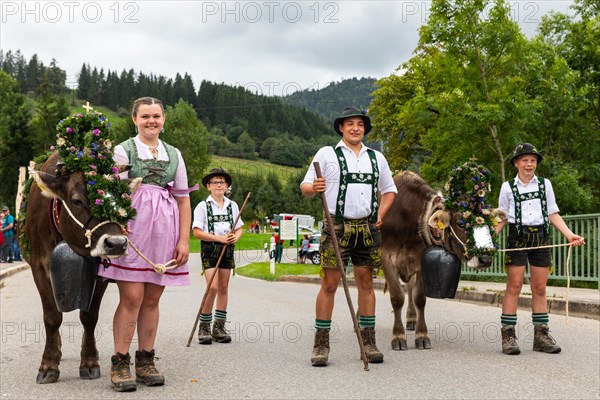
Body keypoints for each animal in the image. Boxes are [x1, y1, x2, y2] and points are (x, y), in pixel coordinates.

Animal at [23, 153, 141, 384]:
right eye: (77, 200)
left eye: (122, 198)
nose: (116, 243)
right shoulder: (38, 267)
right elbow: (52, 317)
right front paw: (48, 365)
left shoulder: (100, 272)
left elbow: (89, 317)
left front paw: (89, 362)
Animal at [382, 171, 504, 350]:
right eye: (460, 223)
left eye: (488, 224)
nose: (486, 259)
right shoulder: (386, 258)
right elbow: (397, 297)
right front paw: (398, 337)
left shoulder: (420, 260)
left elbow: (419, 298)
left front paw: (422, 335)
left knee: (409, 287)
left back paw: (411, 318)